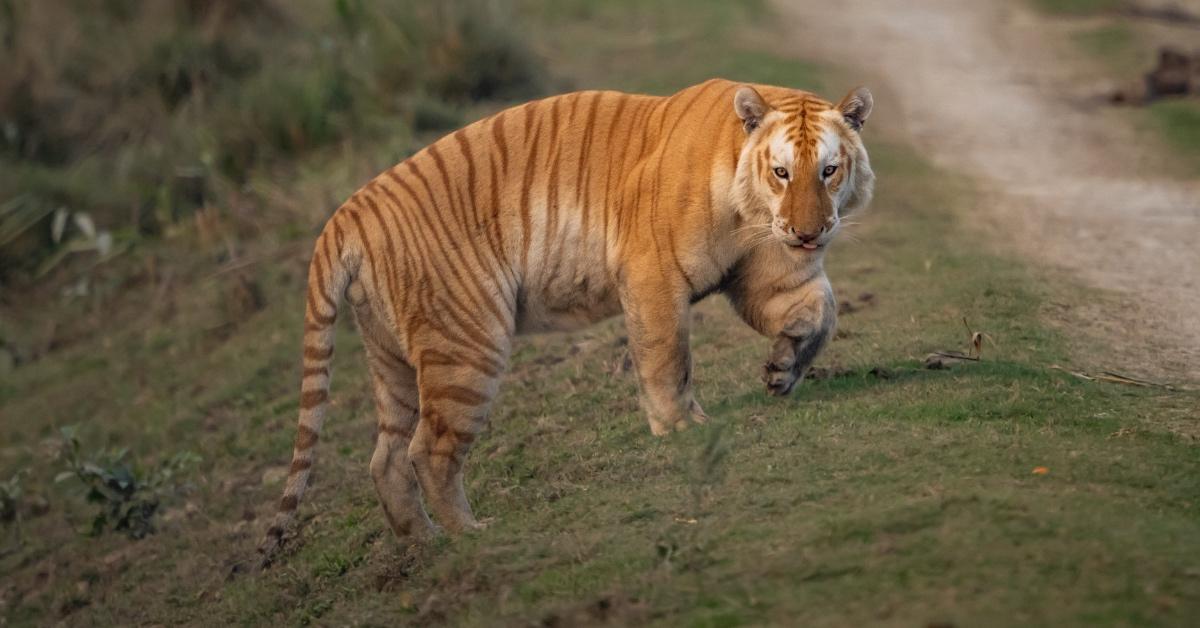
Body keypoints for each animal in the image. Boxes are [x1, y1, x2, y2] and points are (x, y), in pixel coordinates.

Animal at [258, 78, 873, 564]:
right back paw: (470, 533)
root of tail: (347, 212)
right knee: (428, 451)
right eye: (781, 172)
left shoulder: (765, 275)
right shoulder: (652, 273)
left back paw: (424, 542)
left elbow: (822, 310)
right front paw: (681, 428)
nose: (809, 233)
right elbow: (667, 357)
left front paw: (782, 370)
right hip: (467, 346)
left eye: (828, 170)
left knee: (385, 459)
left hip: (392, 359)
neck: (754, 215)